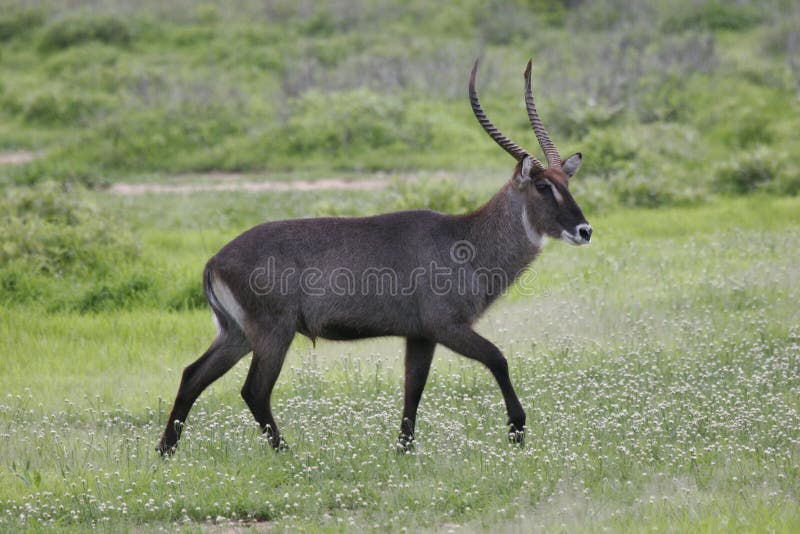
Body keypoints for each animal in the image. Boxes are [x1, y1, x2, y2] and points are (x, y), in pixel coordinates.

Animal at [158, 59, 592, 456]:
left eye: (567, 183)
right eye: (542, 186)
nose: (585, 230)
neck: (466, 241)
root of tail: (214, 261)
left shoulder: (420, 335)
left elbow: (413, 388)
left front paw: (404, 448)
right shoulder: (447, 326)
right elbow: (498, 359)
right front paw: (517, 430)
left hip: (235, 333)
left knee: (192, 375)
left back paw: (165, 451)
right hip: (272, 332)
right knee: (253, 390)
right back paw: (286, 453)